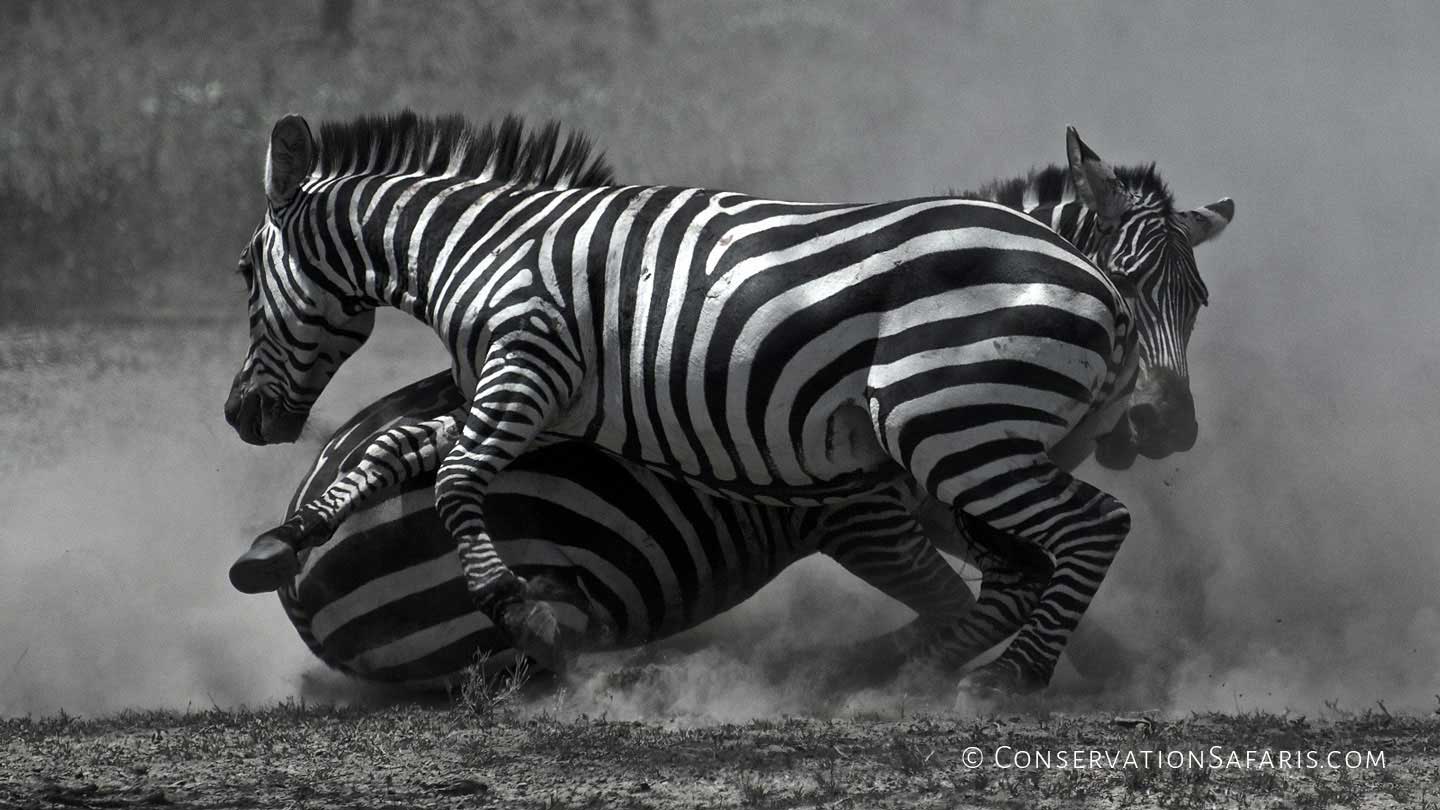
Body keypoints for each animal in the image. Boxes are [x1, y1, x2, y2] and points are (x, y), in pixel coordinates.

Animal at [221, 113, 1226, 691]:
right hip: (951, 443)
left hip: (947, 439)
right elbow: (412, 455)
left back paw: (1003, 678)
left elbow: (450, 472)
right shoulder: (521, 388)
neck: (486, 247)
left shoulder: (528, 373)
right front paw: (279, 538)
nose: (1168, 431)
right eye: (242, 271)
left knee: (1094, 528)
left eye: (1198, 304)